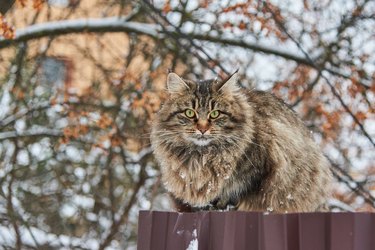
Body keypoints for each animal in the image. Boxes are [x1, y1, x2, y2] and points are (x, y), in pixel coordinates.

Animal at [150, 71, 332, 212]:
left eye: (215, 113)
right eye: (189, 113)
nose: (202, 129)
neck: (201, 156)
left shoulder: (264, 164)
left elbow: (238, 188)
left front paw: (221, 203)